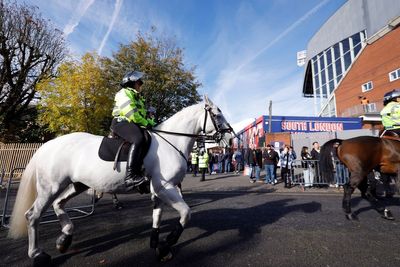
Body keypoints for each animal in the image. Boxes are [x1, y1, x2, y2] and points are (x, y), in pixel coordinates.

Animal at [8, 97, 231, 266]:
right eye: (217, 114)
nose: (230, 139)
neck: (171, 143)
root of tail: (48, 145)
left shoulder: (159, 190)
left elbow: (157, 216)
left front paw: (157, 245)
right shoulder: (165, 187)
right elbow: (185, 213)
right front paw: (167, 244)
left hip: (77, 185)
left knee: (58, 204)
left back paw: (65, 238)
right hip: (50, 187)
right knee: (32, 215)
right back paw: (37, 254)